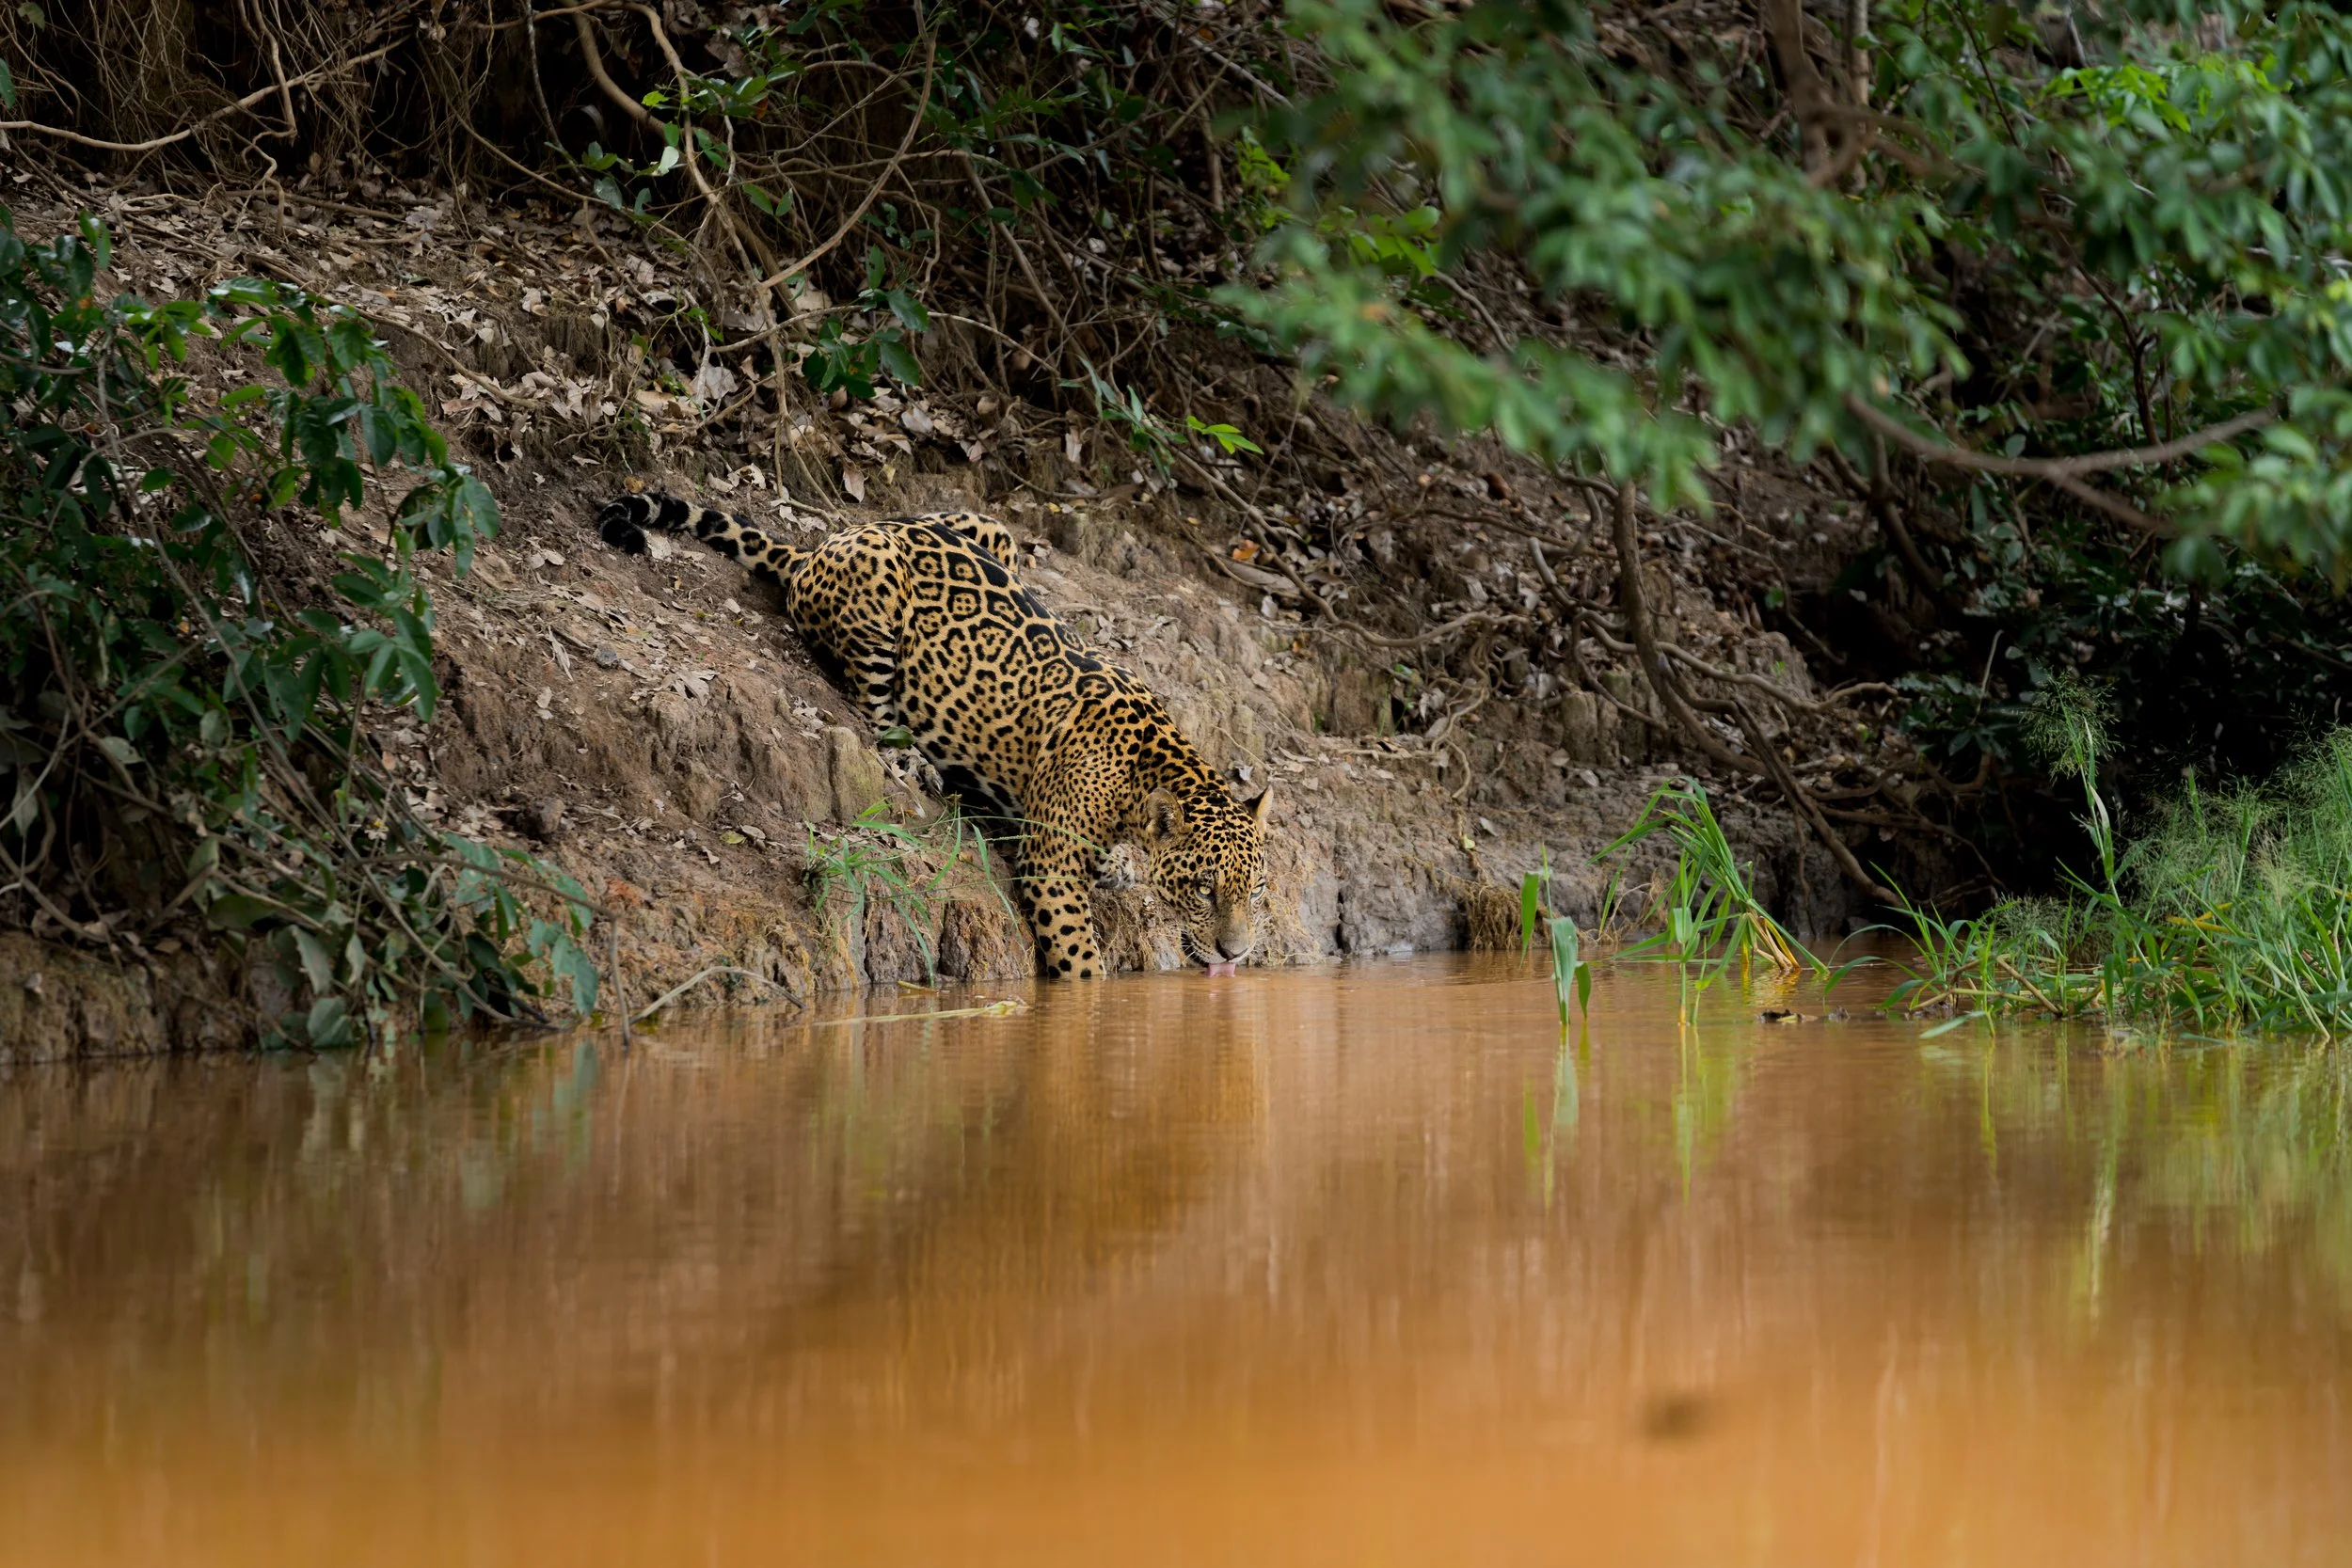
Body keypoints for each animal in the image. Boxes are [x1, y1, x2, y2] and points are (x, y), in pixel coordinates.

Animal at [594, 490, 1274, 977]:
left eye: (1257, 888)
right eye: (1204, 889)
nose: (1237, 953)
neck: (1144, 771)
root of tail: (820, 544)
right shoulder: (1051, 869)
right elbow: (1083, 966)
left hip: (990, 530)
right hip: (876, 593)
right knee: (873, 711)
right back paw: (916, 764)